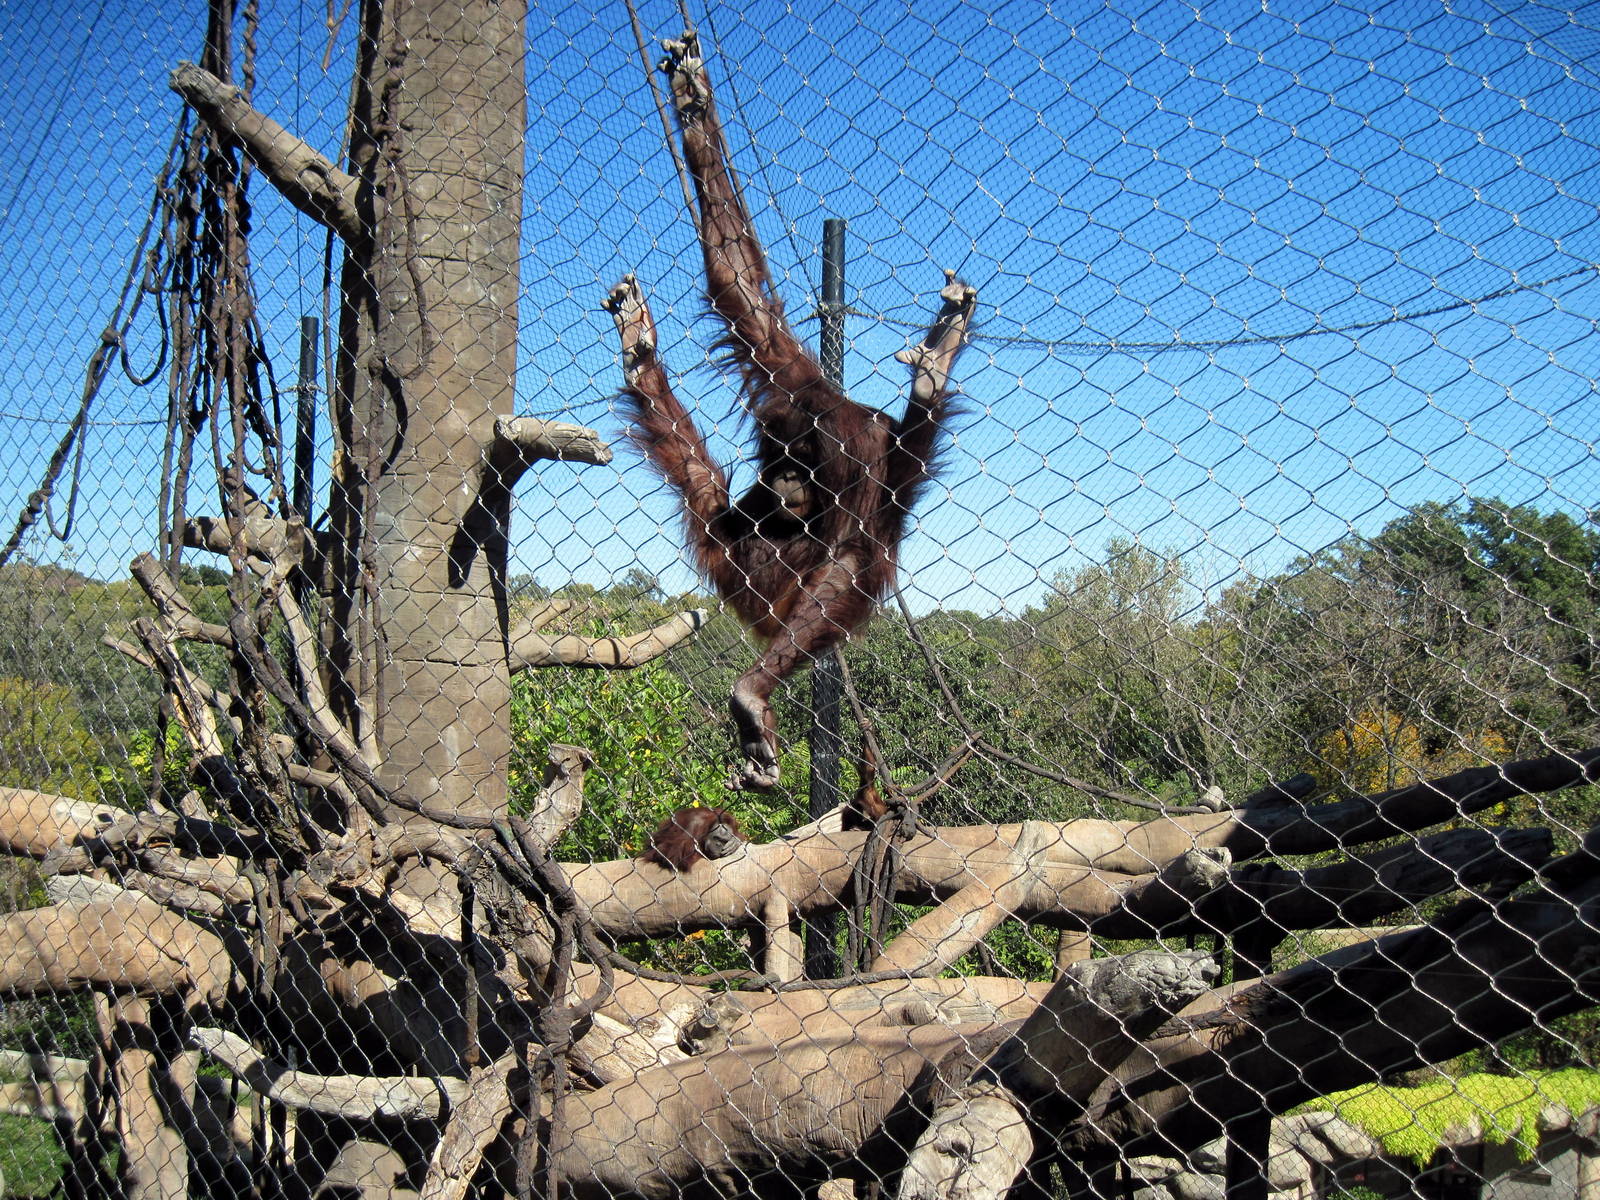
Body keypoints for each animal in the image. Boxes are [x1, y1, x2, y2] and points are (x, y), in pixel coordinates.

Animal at [605, 31, 978, 791]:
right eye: (772, 459)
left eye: (798, 463)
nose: (780, 480)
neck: (818, 419)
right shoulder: (785, 372)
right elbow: (738, 284)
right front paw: (692, 103)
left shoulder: (853, 450)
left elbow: (851, 551)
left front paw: (752, 695)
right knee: (709, 494)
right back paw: (640, 355)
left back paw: (934, 369)